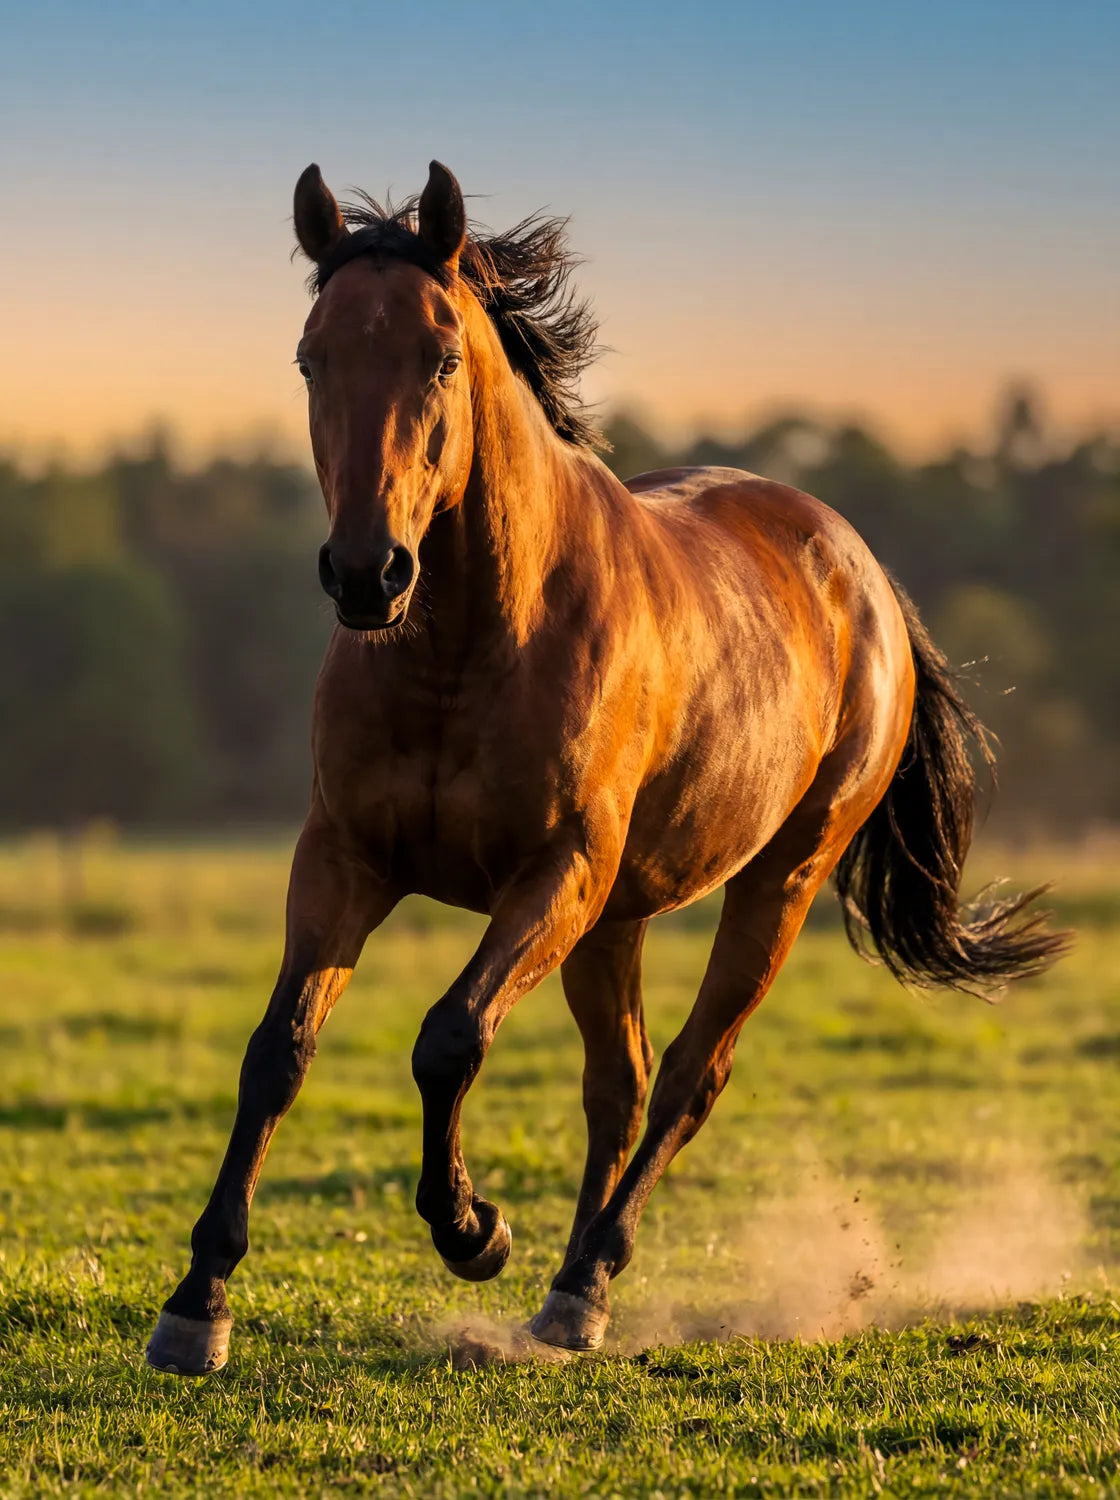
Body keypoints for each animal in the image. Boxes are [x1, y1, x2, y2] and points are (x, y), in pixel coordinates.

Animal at [146, 161, 1067, 1374]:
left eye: (441, 356)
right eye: (312, 357)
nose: (365, 572)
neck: (466, 646)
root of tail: (863, 575)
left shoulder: (556, 875)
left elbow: (450, 1039)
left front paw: (473, 1231)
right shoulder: (344, 861)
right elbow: (278, 1052)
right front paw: (196, 1302)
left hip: (774, 884)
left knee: (687, 1075)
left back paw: (584, 1277)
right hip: (619, 917)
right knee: (618, 1086)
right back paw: (566, 1298)